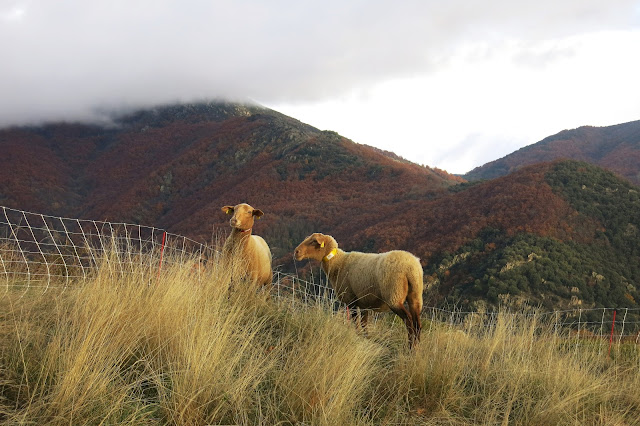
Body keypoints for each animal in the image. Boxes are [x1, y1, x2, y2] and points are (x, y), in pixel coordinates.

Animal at [296, 233, 424, 346]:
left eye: (313, 241)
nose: (296, 252)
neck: (338, 262)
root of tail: (410, 267)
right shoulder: (364, 302)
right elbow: (364, 323)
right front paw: (366, 338)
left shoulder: (351, 300)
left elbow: (356, 322)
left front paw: (357, 336)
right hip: (415, 296)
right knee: (417, 323)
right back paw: (417, 348)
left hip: (394, 295)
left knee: (409, 320)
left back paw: (410, 347)